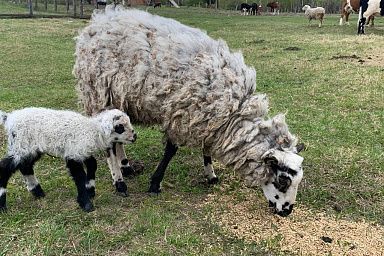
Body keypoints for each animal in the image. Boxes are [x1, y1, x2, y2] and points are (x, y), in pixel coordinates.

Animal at [0, 106, 137, 212]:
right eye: (120, 127)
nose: (135, 136)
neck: (92, 130)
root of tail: (9, 118)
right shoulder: (73, 153)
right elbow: (79, 176)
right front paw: (86, 203)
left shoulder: (83, 151)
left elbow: (92, 165)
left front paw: (90, 189)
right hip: (20, 145)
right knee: (5, 168)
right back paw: (3, 203)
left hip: (30, 149)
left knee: (25, 166)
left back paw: (37, 191)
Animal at [73, 6, 304, 216]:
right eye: (283, 181)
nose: (287, 211)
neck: (234, 111)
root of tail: (100, 19)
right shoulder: (182, 114)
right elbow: (171, 150)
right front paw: (155, 183)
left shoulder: (210, 118)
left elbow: (206, 149)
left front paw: (211, 175)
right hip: (99, 94)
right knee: (110, 145)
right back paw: (119, 181)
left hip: (119, 100)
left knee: (117, 135)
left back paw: (126, 167)